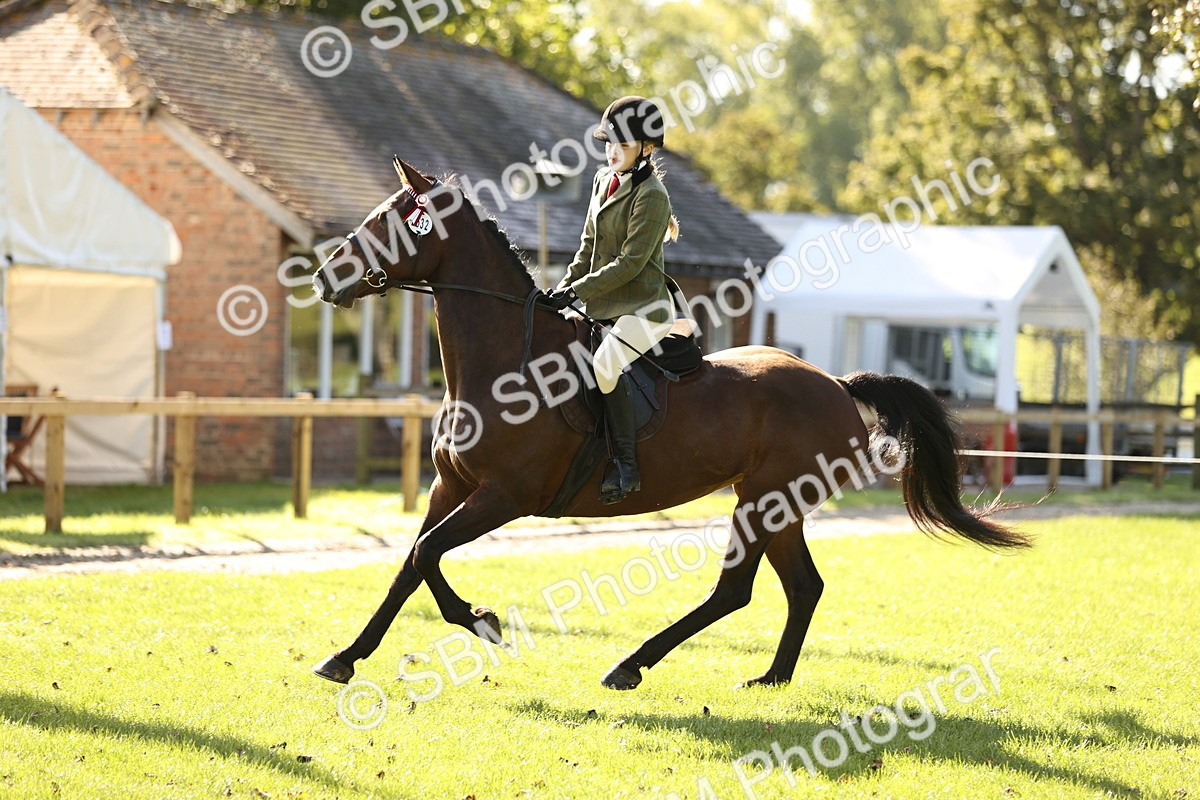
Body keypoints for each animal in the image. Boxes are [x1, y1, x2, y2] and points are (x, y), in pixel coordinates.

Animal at [310, 157, 1029, 691]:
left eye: (392, 223)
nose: (323, 278)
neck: (503, 364)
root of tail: (834, 384)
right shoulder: (451, 488)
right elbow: (411, 563)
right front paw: (346, 656)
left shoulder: (504, 496)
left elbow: (428, 553)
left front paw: (480, 621)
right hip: (776, 505)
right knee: (800, 587)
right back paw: (769, 677)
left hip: (764, 501)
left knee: (736, 591)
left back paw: (630, 666)